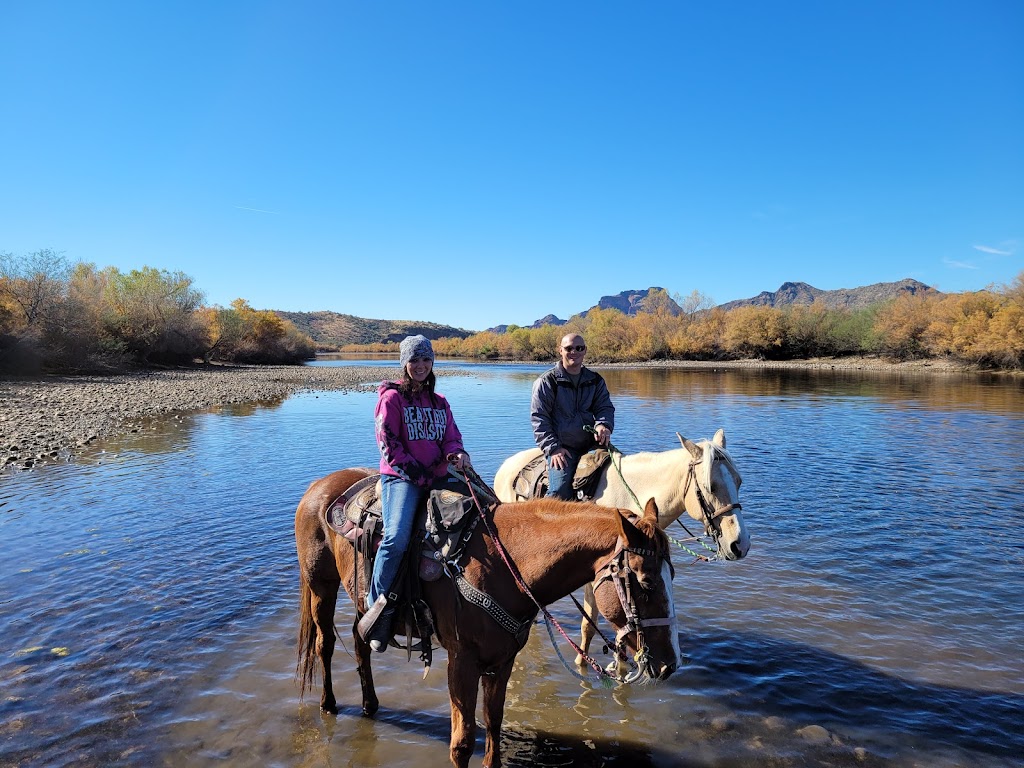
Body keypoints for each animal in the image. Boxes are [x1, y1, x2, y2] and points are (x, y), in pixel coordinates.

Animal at [296, 468, 679, 768]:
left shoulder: (502, 660)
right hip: (321, 586)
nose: (669, 665)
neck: (504, 564)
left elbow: (493, 726)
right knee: (324, 644)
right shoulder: (461, 662)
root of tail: (320, 485)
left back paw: (369, 705)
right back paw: (328, 704)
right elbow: (462, 743)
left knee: (360, 639)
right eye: (646, 582)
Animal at [491, 434, 749, 667]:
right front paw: (582, 663)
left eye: (738, 481)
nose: (740, 544)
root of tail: (507, 465)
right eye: (710, 487)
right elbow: (589, 625)